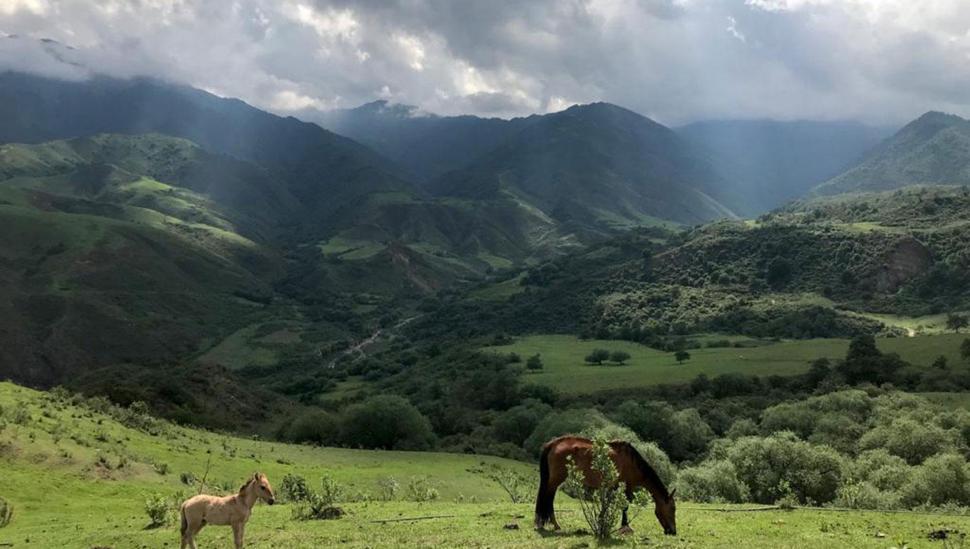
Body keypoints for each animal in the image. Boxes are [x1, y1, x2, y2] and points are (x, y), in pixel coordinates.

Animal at [532, 434, 676, 532]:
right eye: (673, 508)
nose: (673, 532)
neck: (632, 462)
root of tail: (553, 443)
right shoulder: (627, 486)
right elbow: (625, 506)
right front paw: (625, 526)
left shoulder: (614, 487)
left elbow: (608, 504)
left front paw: (602, 520)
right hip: (555, 480)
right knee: (548, 498)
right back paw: (554, 524)